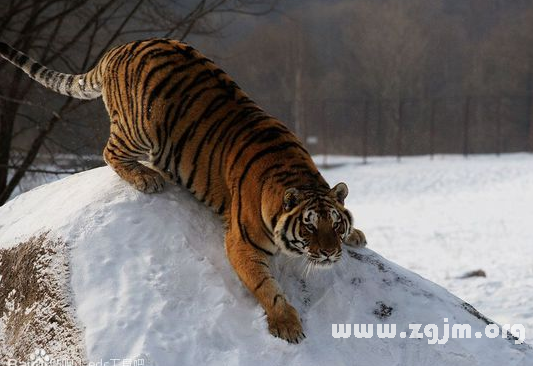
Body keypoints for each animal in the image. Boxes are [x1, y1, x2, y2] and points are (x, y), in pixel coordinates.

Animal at [0, 38, 366, 344]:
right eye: (309, 226)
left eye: (335, 224)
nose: (330, 253)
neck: (299, 175)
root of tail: (120, 48)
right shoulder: (241, 244)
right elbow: (266, 286)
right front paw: (287, 324)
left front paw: (356, 235)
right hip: (138, 129)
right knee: (109, 152)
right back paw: (146, 178)